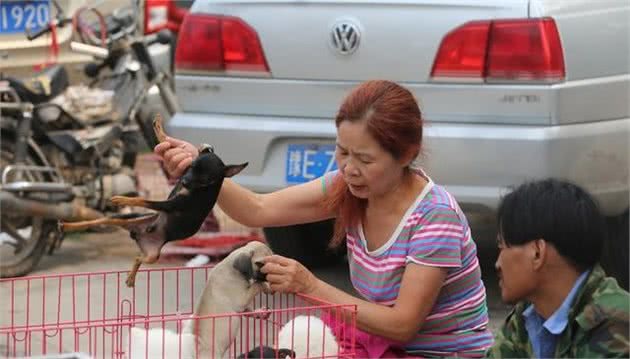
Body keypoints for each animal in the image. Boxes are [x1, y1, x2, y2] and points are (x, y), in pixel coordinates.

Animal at [59, 116, 247, 288]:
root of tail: (138, 233)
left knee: (138, 257)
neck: (196, 188)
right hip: (128, 219)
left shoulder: (170, 204)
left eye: (206, 180)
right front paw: (159, 129)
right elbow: (169, 144)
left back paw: (131, 277)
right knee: (103, 220)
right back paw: (67, 226)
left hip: (153, 255)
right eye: (192, 166)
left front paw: (123, 198)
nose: (185, 181)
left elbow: (143, 199)